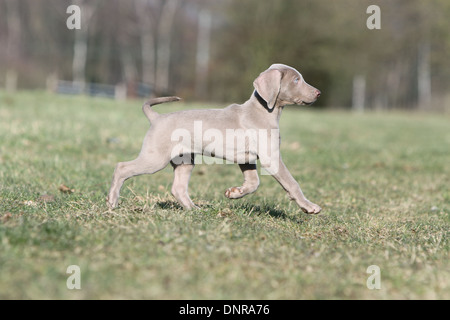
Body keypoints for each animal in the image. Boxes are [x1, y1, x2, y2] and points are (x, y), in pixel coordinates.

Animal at [107, 63, 322, 214]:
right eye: (296, 80)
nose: (319, 93)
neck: (264, 110)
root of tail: (156, 118)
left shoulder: (247, 158)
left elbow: (253, 183)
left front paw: (235, 193)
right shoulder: (271, 157)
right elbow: (292, 183)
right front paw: (309, 206)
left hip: (184, 160)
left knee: (178, 188)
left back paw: (194, 209)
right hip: (155, 158)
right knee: (121, 167)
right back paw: (112, 201)